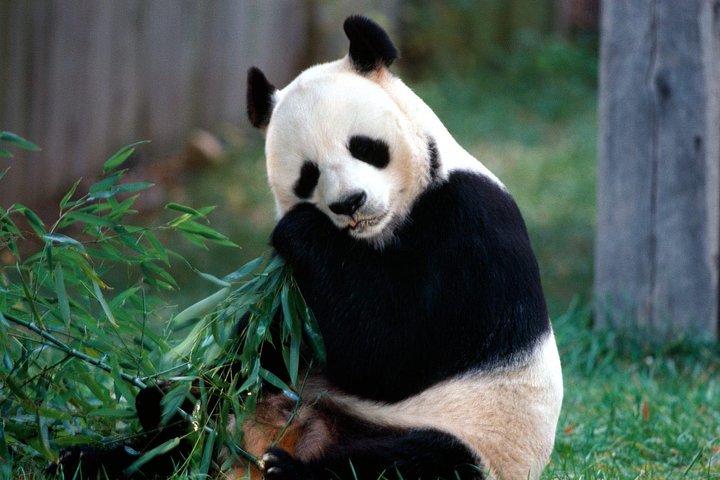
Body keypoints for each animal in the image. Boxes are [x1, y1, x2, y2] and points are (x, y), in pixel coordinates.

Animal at [58, 15, 562, 480]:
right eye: (307, 175)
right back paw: (123, 438)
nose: (349, 203)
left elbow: (393, 350)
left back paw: (290, 470)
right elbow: (272, 338)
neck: (378, 233)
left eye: (365, 147)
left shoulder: (469, 228)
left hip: (476, 438)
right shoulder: (298, 297)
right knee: (191, 426)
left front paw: (300, 228)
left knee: (412, 463)